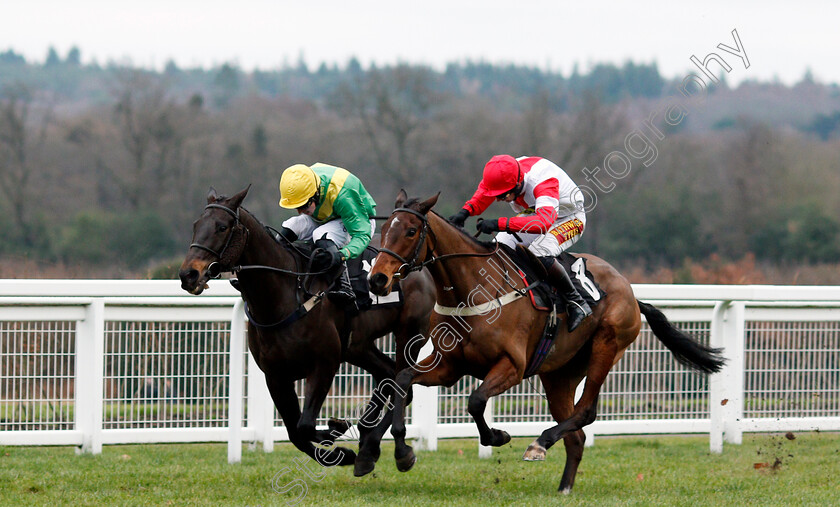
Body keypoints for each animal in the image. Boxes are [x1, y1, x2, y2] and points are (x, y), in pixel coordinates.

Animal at [181, 188, 436, 476]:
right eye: (196, 225)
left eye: (222, 227)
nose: (188, 274)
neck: (282, 297)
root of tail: (418, 263)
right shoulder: (275, 375)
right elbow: (296, 433)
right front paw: (340, 446)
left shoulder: (324, 364)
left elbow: (304, 426)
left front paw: (338, 435)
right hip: (357, 346)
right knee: (388, 375)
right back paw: (366, 443)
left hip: (409, 334)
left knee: (401, 383)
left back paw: (390, 448)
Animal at [370, 192, 724, 494]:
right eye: (385, 228)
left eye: (411, 230)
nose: (378, 279)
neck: (473, 288)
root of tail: (631, 292)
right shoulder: (449, 367)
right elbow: (403, 379)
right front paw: (402, 452)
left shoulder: (512, 366)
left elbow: (476, 400)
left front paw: (498, 436)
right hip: (559, 374)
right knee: (577, 436)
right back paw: (564, 486)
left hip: (606, 346)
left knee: (586, 411)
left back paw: (540, 443)